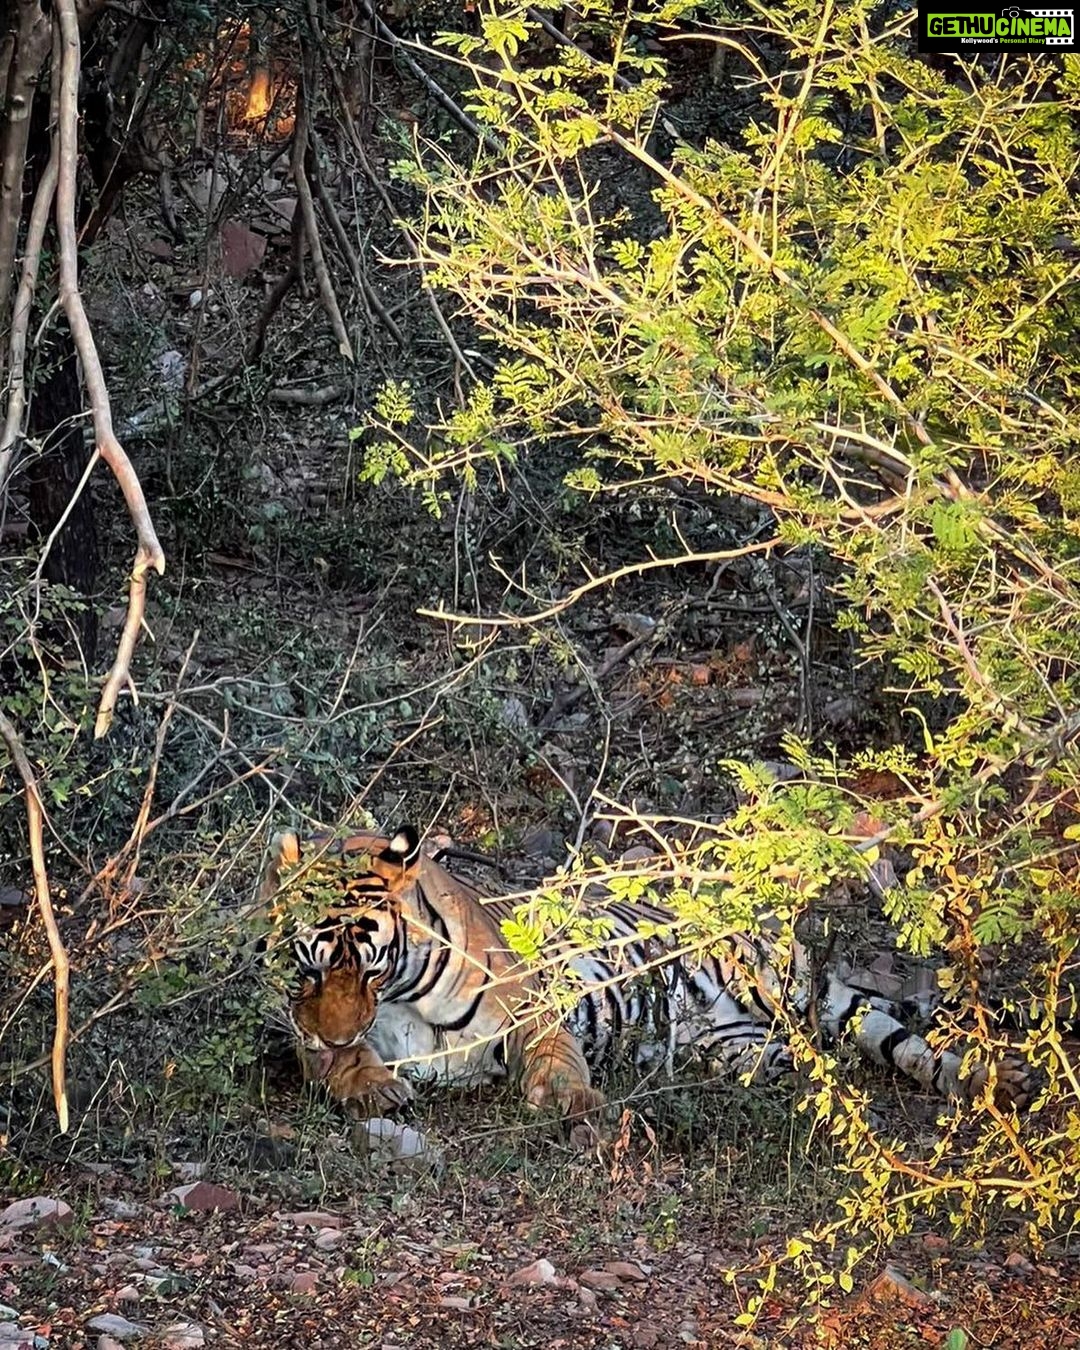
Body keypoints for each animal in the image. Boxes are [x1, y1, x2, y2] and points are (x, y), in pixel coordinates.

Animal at [257, 823, 1030, 1121]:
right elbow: (339, 1061)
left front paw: (573, 1100)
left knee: (896, 1037)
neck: (399, 996)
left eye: (369, 968)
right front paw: (371, 1085)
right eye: (311, 970)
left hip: (792, 993)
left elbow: (560, 1058)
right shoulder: (305, 1034)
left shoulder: (531, 1009)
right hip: (747, 1046)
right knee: (851, 1045)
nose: (334, 1031)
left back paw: (997, 1081)